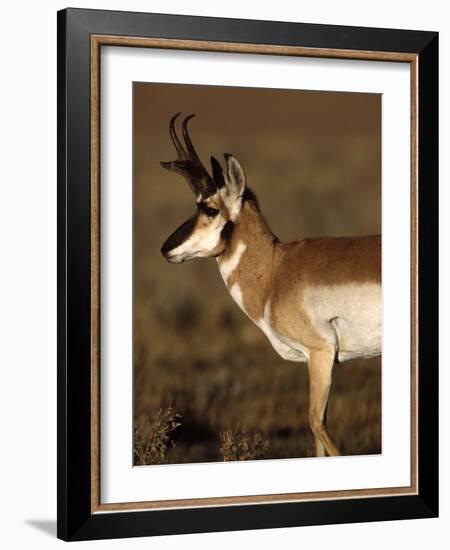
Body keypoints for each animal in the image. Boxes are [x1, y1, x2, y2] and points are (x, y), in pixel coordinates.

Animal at [160, 112, 382, 458]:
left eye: (210, 208)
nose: (165, 249)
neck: (277, 269)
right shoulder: (315, 362)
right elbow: (318, 436)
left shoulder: (321, 354)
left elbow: (316, 424)